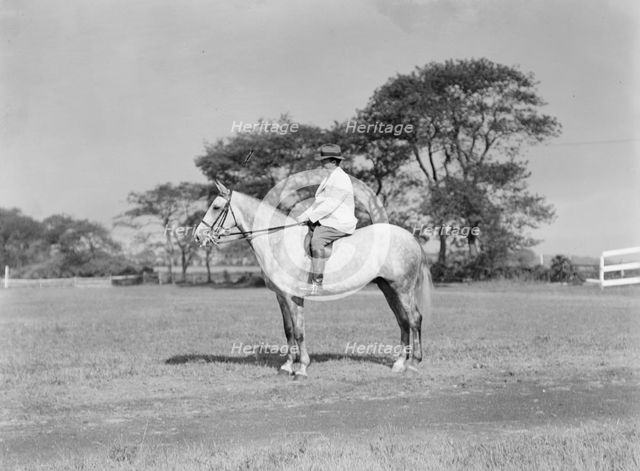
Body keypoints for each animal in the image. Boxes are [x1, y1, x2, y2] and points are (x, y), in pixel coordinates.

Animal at [194, 179, 433, 379]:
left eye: (216, 207)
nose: (197, 235)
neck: (277, 241)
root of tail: (410, 237)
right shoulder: (281, 298)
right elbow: (288, 331)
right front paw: (287, 367)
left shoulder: (293, 297)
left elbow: (299, 332)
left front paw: (301, 369)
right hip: (388, 288)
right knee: (402, 321)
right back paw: (399, 364)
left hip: (403, 289)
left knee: (414, 319)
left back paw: (413, 364)